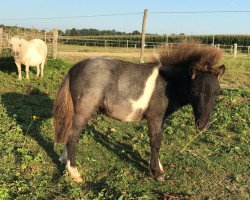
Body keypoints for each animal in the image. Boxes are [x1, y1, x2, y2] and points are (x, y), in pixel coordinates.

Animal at [53, 42, 226, 183]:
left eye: (217, 93)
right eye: (194, 92)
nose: (203, 125)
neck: (167, 84)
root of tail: (73, 69)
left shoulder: (161, 118)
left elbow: (157, 140)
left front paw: (158, 167)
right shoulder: (154, 117)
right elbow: (156, 142)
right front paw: (157, 173)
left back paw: (64, 160)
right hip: (84, 110)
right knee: (73, 136)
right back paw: (75, 173)